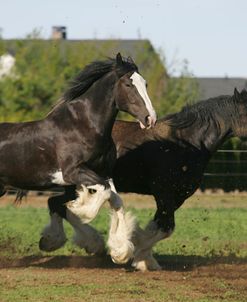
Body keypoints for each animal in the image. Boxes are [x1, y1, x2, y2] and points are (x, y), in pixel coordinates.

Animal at [0, 53, 156, 264]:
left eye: (145, 83)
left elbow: (115, 200)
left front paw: (119, 251)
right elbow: (102, 192)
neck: (83, 126)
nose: (150, 119)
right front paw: (80, 208)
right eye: (128, 84)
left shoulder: (104, 173)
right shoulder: (73, 172)